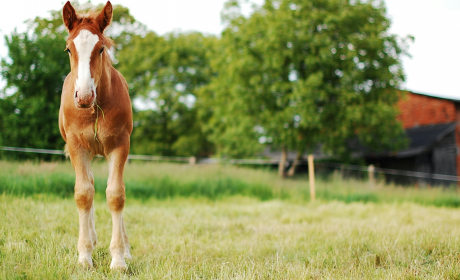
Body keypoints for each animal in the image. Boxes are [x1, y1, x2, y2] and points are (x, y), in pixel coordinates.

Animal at [58, 1, 132, 270]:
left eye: (101, 49)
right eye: (68, 49)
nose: (84, 95)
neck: (95, 108)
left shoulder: (120, 146)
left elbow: (116, 194)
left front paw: (119, 259)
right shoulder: (77, 147)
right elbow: (83, 194)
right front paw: (84, 257)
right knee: (87, 185)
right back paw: (90, 238)